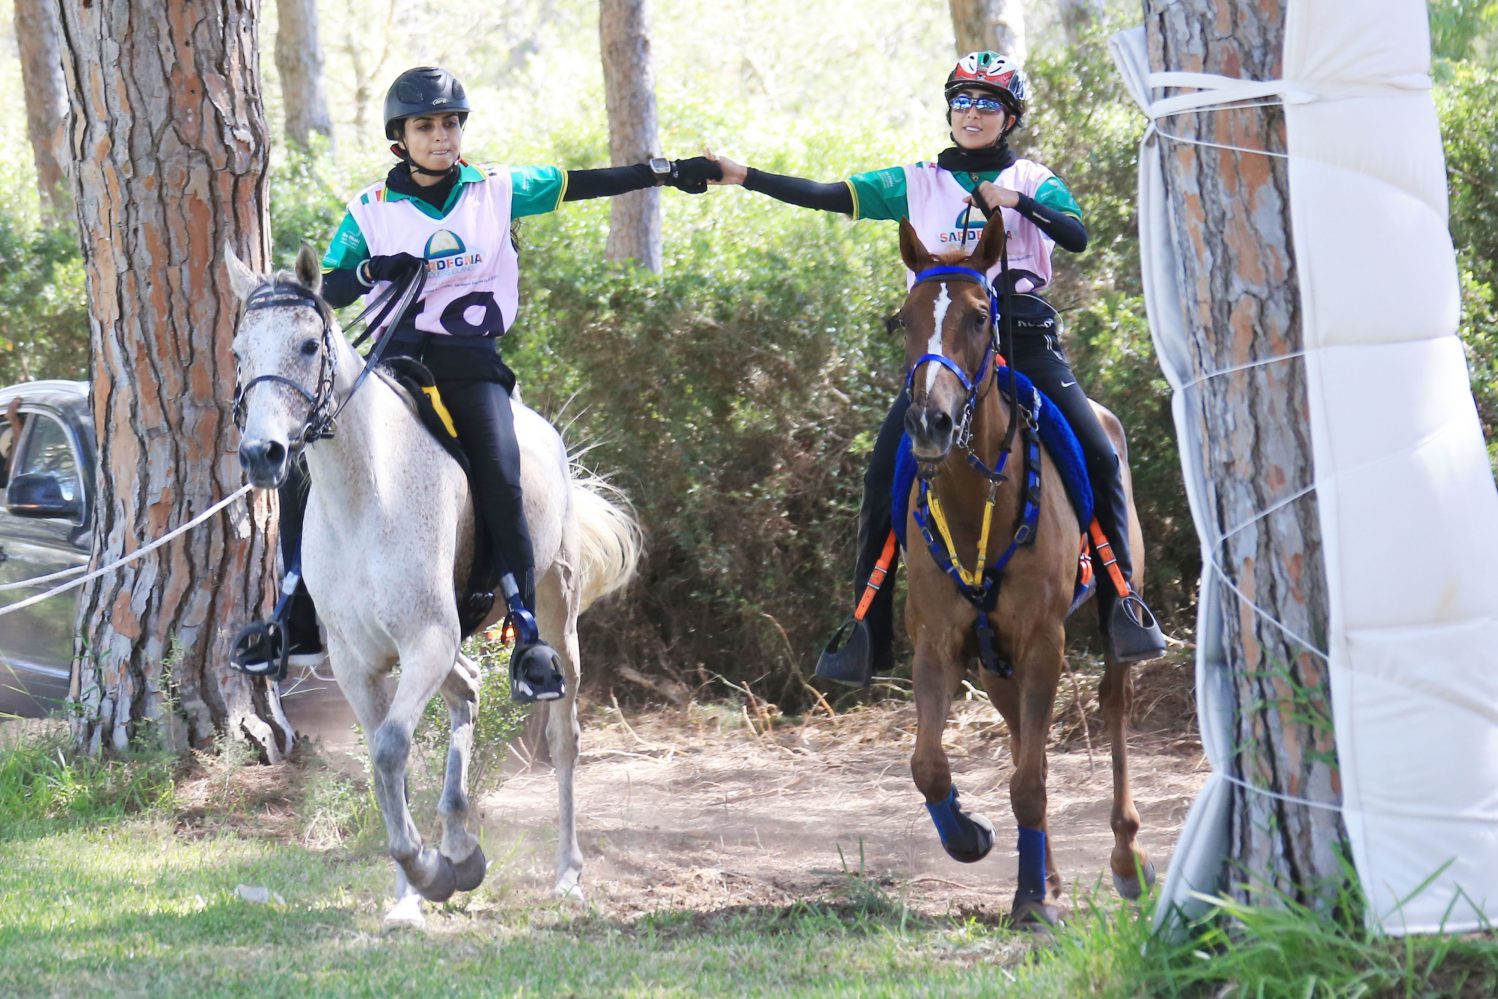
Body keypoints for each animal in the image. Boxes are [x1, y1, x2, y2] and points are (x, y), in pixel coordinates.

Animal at [226, 245, 638, 928]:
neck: (365, 493)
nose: (263, 454)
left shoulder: (426, 640)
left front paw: (429, 871)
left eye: (309, 345)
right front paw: (415, 893)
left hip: (556, 609)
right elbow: (383, 759)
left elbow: (393, 748)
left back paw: (566, 876)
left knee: (563, 737)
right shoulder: (357, 660)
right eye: (238, 352)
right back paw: (461, 841)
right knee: (467, 690)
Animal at [892, 215, 1150, 928]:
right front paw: (970, 836)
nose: (929, 421)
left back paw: (1126, 860)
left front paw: (1032, 899)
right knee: (1015, 735)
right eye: (903, 319)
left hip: (1112, 617)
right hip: (994, 660)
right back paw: (1053, 872)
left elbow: (1031, 781)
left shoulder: (1044, 642)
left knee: (1113, 707)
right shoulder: (939, 643)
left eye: (982, 316)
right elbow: (929, 764)